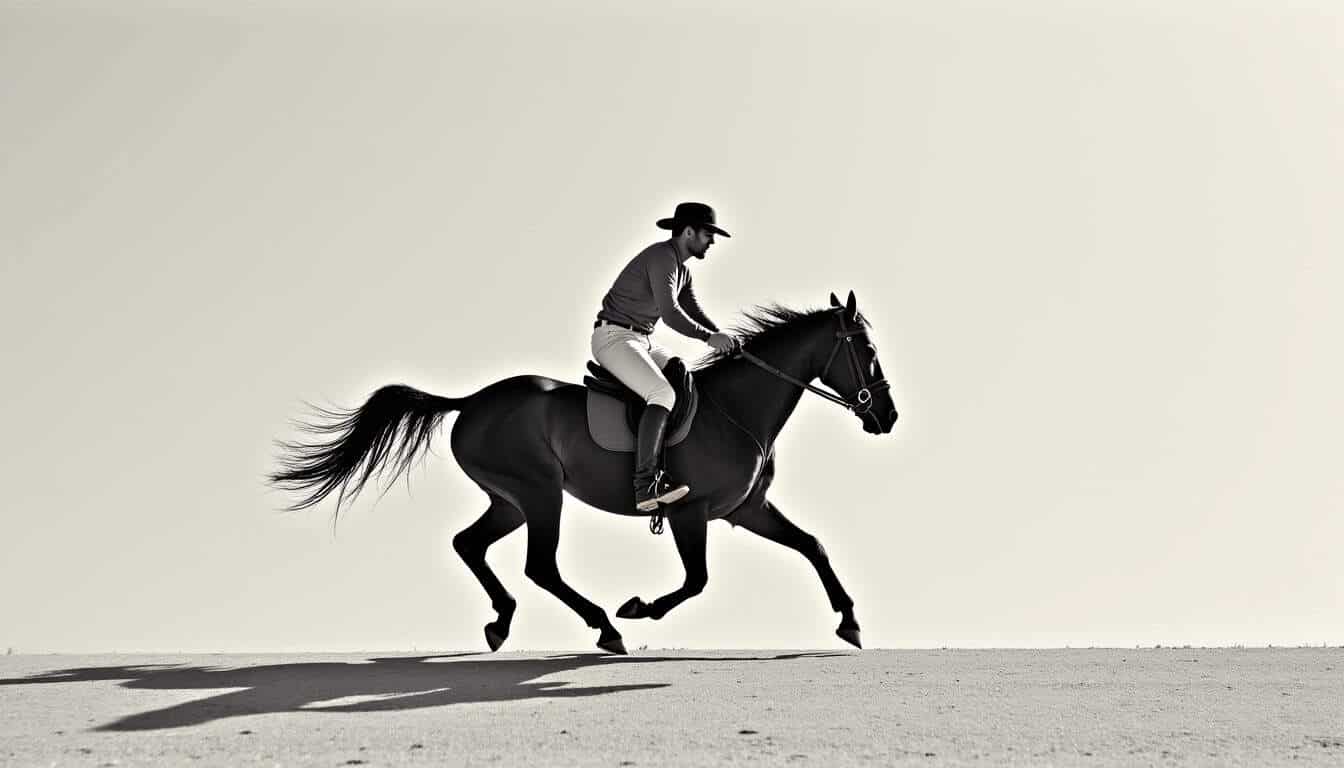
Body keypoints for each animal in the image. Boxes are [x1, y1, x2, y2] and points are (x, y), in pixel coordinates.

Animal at [269, 290, 898, 654]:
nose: (887, 416)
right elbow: (697, 580)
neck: (736, 409)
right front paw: (639, 608)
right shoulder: (691, 511)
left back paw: (502, 622)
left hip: (510, 500)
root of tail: (472, 400)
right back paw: (605, 626)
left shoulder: (746, 509)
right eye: (865, 350)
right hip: (540, 493)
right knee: (539, 566)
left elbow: (813, 545)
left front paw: (850, 623)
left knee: (470, 544)